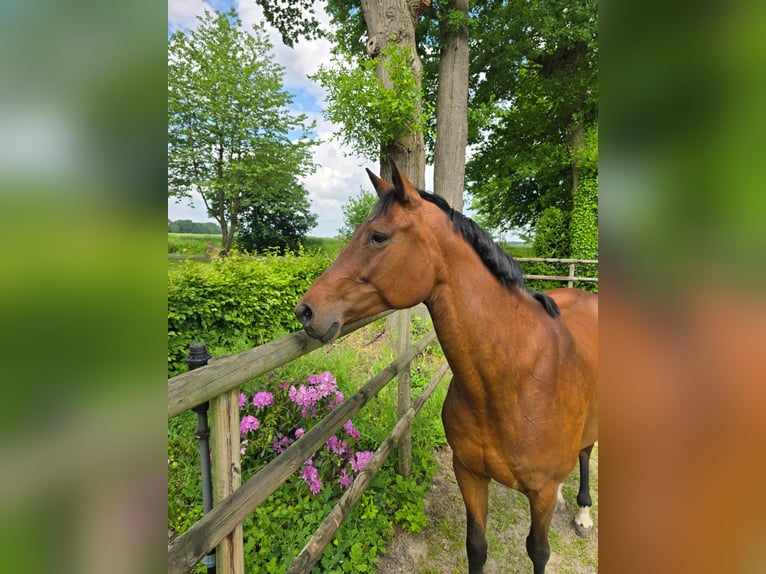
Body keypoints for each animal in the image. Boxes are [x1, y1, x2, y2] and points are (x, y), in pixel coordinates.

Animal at [294, 162, 600, 574]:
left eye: (377, 236)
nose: (306, 311)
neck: (514, 381)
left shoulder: (539, 493)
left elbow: (538, 552)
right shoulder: (469, 474)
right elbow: (477, 547)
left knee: (586, 452)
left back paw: (583, 512)